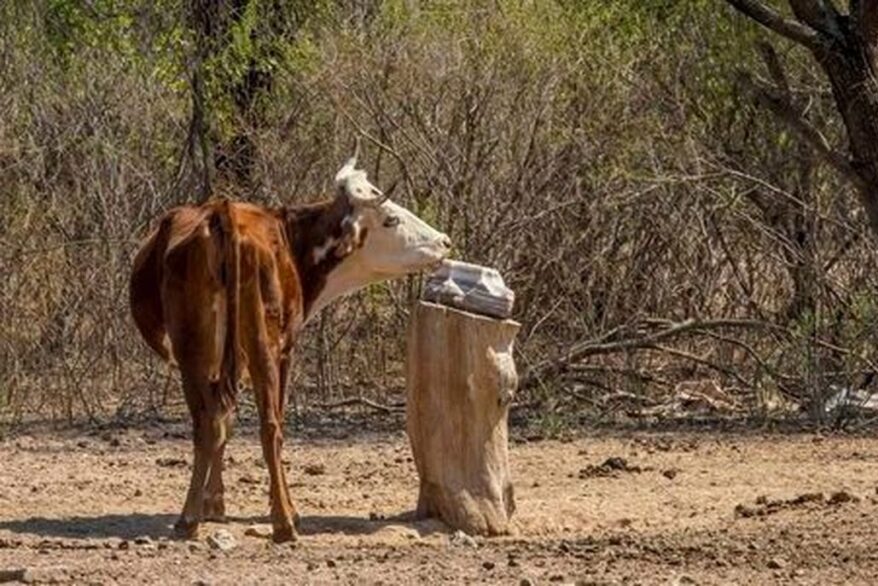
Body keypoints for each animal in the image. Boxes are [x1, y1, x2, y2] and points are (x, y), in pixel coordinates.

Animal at [129, 146, 454, 540]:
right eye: (390, 219)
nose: (444, 241)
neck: (291, 240)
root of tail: (224, 214)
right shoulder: (285, 349)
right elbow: (268, 424)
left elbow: (225, 421)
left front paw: (213, 505)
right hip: (263, 347)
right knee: (270, 426)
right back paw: (284, 521)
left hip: (194, 352)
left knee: (206, 422)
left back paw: (188, 518)